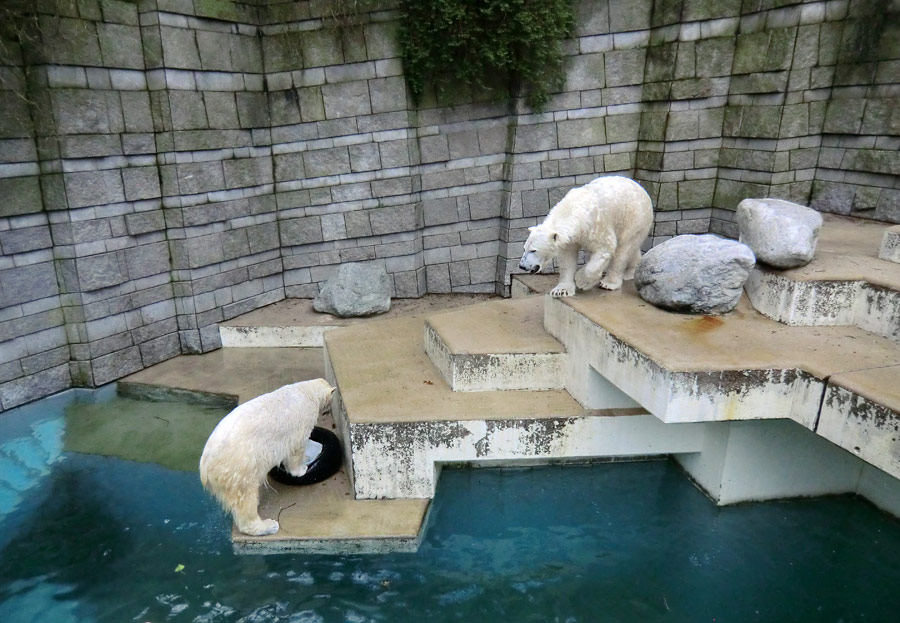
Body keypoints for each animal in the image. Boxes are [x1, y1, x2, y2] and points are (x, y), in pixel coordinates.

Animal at [199, 378, 336, 540]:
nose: (328, 411)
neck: (307, 391)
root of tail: (205, 465)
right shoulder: (301, 423)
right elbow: (296, 449)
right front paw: (302, 468)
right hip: (239, 467)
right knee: (246, 499)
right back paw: (268, 525)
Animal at [520, 174, 652, 298]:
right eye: (524, 248)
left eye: (533, 250)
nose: (522, 266)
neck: (574, 210)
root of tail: (641, 187)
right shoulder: (570, 240)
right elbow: (567, 259)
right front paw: (561, 290)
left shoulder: (597, 225)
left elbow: (604, 248)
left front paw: (581, 281)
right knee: (632, 249)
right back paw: (631, 271)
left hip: (633, 219)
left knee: (623, 249)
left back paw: (609, 282)